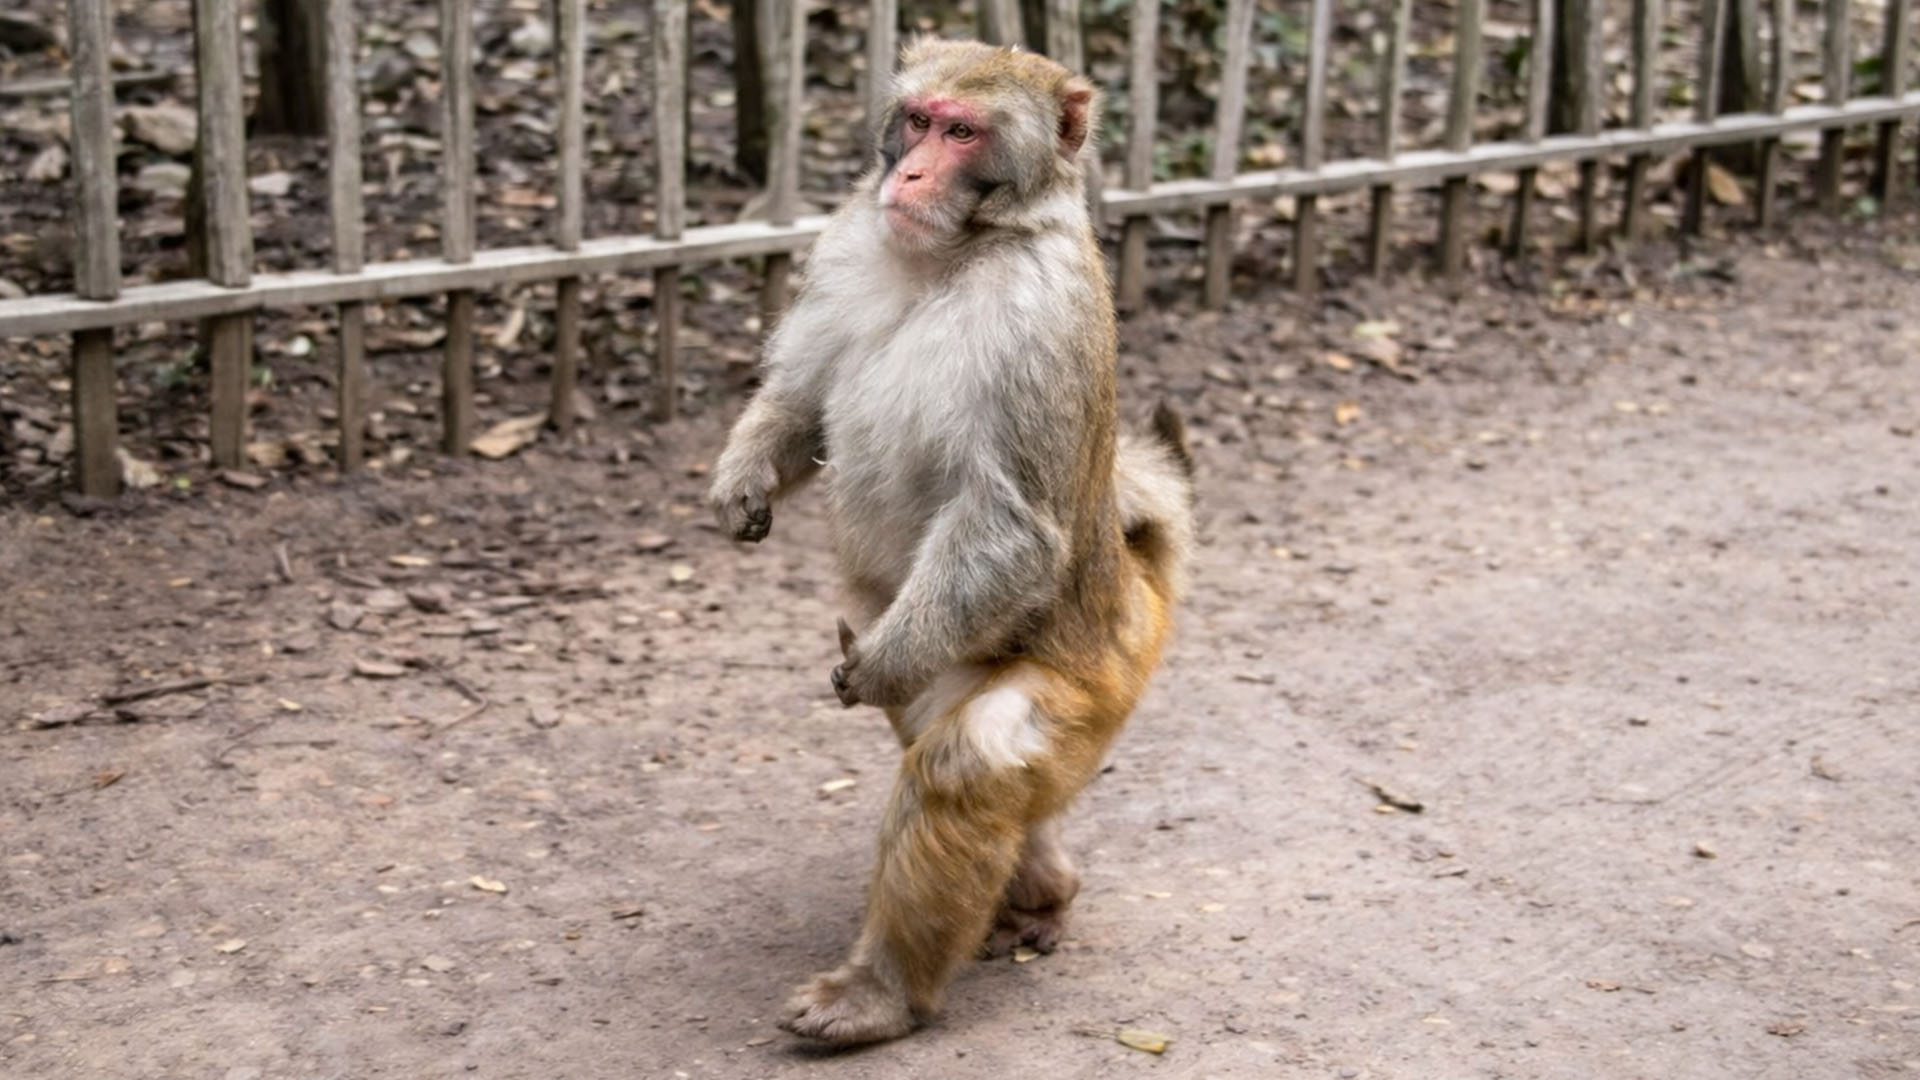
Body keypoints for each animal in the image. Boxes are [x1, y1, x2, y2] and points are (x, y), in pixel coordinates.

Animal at [707, 38, 1195, 1045]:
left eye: (965, 133)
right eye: (922, 119)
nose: (914, 172)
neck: (961, 249)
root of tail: (1140, 582)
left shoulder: (1032, 321)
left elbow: (1010, 523)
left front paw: (879, 663)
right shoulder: (846, 241)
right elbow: (802, 402)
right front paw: (744, 477)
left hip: (1104, 671)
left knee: (967, 762)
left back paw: (880, 994)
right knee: (939, 740)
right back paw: (1041, 883)